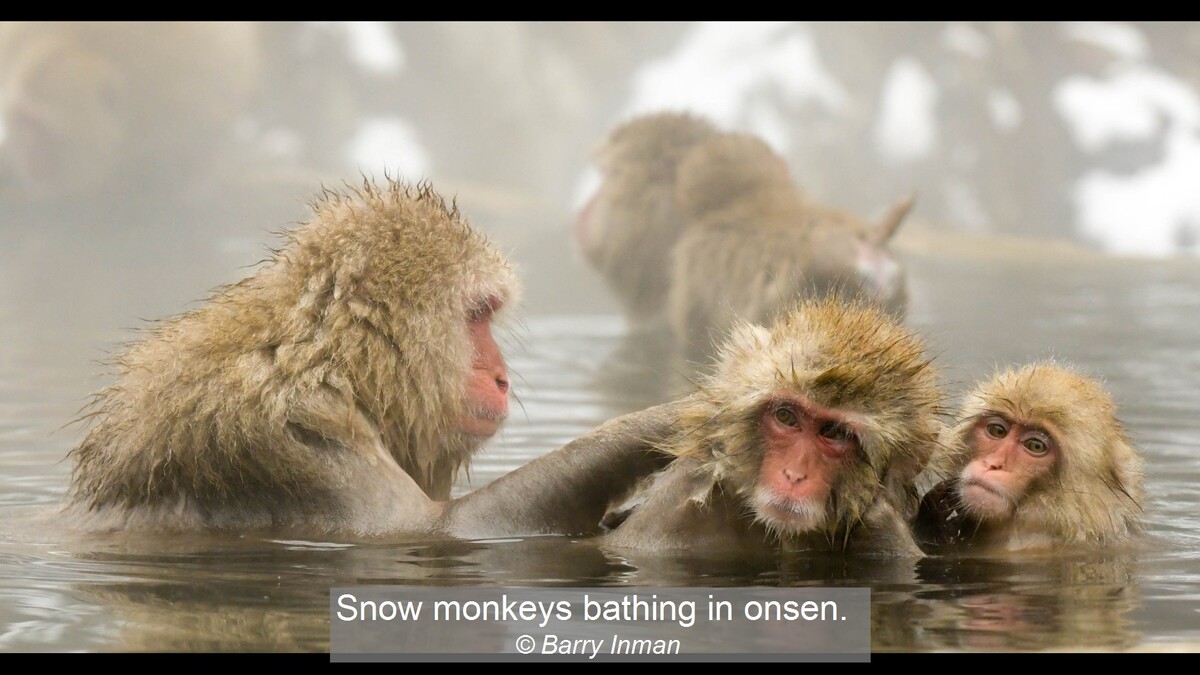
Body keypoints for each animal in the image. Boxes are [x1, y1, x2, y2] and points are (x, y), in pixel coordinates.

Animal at [63, 178, 679, 537]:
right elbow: (433, 530)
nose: (501, 377)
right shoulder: (305, 438)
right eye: (477, 314)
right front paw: (652, 425)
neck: (344, 371)